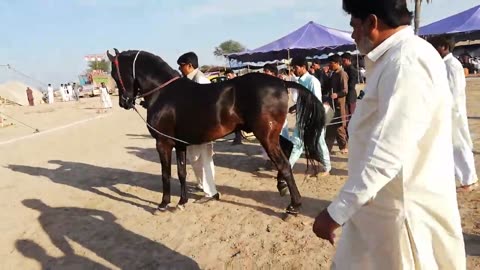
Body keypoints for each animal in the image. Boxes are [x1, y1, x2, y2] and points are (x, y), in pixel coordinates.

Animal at [108, 48, 326, 216]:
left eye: (114, 74)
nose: (123, 102)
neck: (163, 93)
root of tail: (281, 82)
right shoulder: (179, 144)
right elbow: (181, 172)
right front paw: (182, 202)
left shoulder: (163, 143)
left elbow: (165, 174)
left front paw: (163, 204)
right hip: (271, 134)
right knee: (288, 150)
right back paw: (281, 186)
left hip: (265, 135)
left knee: (283, 164)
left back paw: (294, 206)